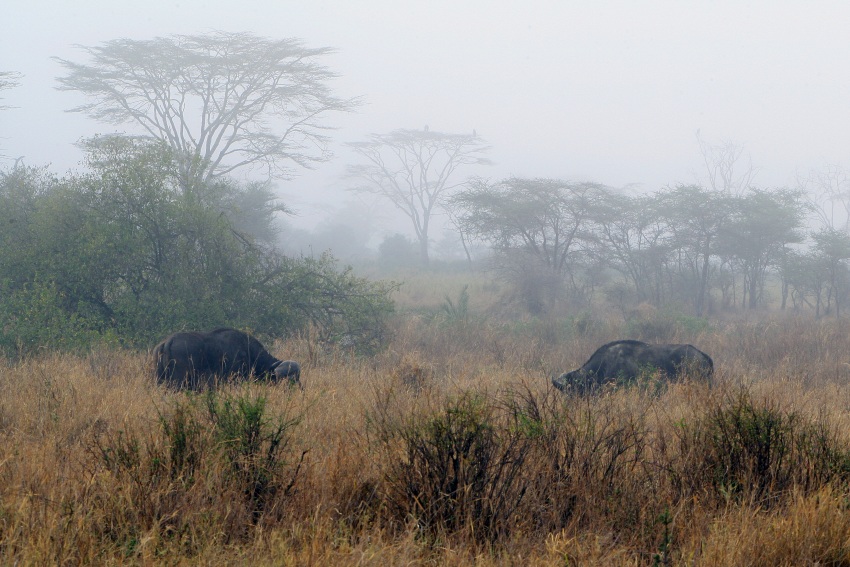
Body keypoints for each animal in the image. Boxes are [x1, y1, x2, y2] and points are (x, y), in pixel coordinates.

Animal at [152, 328, 302, 390]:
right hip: (177, 383)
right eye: (285, 380)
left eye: (297, 378)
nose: (297, 390)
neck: (249, 353)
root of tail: (168, 342)